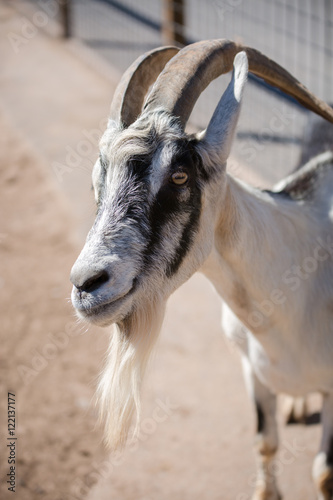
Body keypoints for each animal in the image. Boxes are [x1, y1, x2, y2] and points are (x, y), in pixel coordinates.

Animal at [69, 40, 332, 500]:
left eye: (179, 175)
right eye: (96, 182)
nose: (87, 284)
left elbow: (322, 473)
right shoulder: (250, 369)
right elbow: (265, 442)